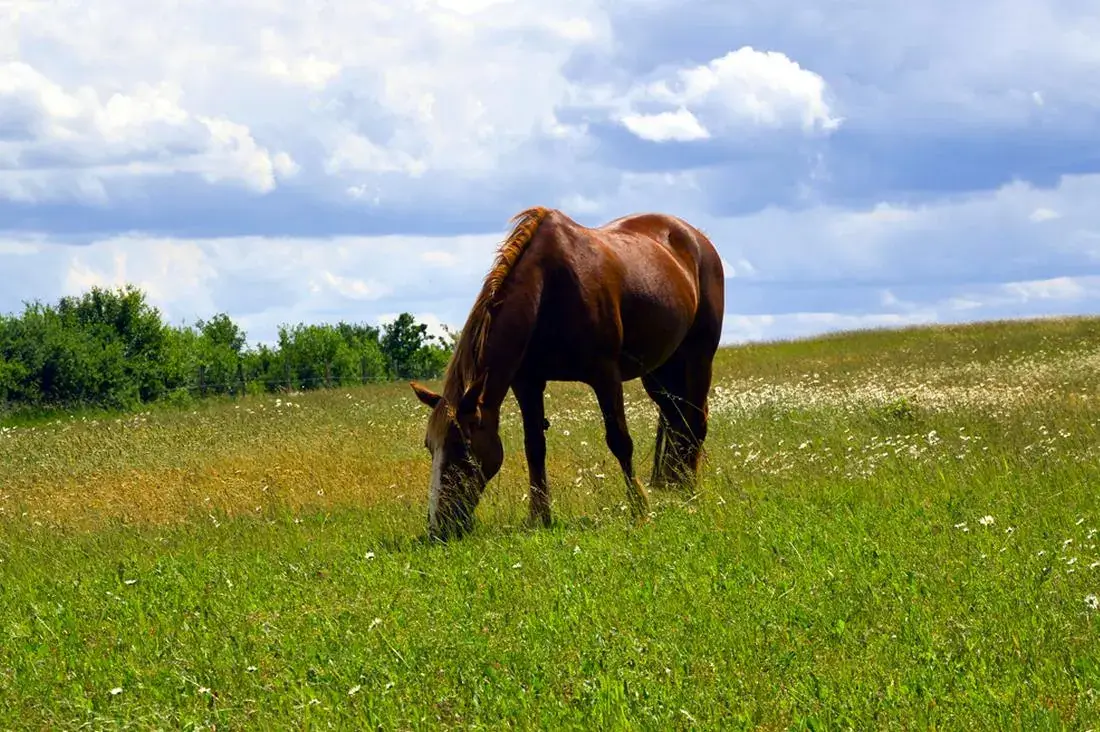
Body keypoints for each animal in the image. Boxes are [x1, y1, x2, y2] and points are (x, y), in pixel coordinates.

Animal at [410, 206, 725, 541]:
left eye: (462, 448)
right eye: (430, 447)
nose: (438, 527)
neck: (547, 291)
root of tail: (696, 238)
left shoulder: (605, 375)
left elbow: (620, 441)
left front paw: (640, 509)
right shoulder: (527, 383)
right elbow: (534, 448)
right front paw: (539, 516)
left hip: (697, 356)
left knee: (695, 421)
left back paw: (688, 490)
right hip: (659, 370)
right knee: (676, 419)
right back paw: (675, 484)